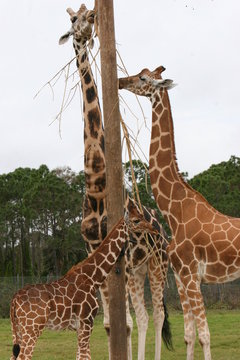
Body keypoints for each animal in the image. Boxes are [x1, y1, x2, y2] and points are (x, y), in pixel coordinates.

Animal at [9, 211, 158, 360]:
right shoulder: (87, 322)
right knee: (23, 356)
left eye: (141, 215)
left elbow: (82, 355)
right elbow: (84, 355)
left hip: (17, 330)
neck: (93, 278)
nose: (154, 229)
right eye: (136, 220)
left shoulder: (80, 327)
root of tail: (15, 299)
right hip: (32, 328)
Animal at [59, 6, 172, 360]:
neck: (95, 184)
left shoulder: (117, 257)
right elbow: (110, 325)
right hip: (136, 270)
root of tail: (161, 226)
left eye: (86, 15)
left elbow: (123, 325)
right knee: (145, 316)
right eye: (74, 20)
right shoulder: (94, 251)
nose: (92, 17)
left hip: (158, 263)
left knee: (157, 314)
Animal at [118, 65, 240, 360]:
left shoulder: (191, 275)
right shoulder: (183, 278)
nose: (120, 81)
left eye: (143, 78)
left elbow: (205, 335)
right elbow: (189, 335)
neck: (175, 210)